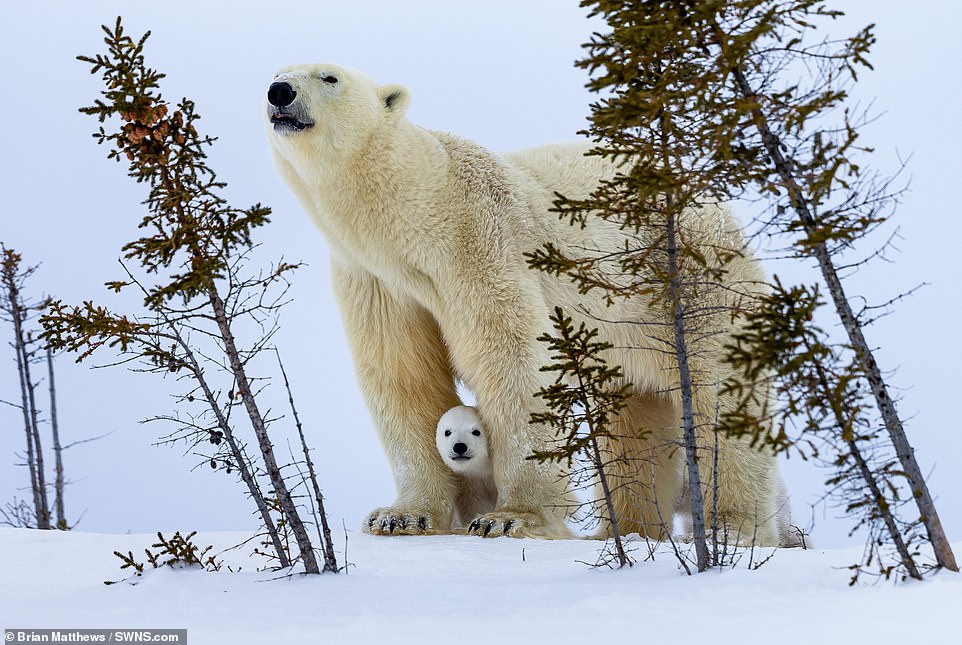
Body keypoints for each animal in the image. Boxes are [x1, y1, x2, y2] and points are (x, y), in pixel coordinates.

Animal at [262, 63, 788, 544]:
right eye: (275, 72)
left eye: (329, 77)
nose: (280, 91)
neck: (417, 215)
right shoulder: (376, 280)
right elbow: (404, 374)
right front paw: (401, 516)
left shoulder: (480, 241)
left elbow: (512, 359)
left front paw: (511, 517)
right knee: (633, 421)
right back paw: (629, 530)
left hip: (689, 284)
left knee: (721, 394)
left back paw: (733, 528)